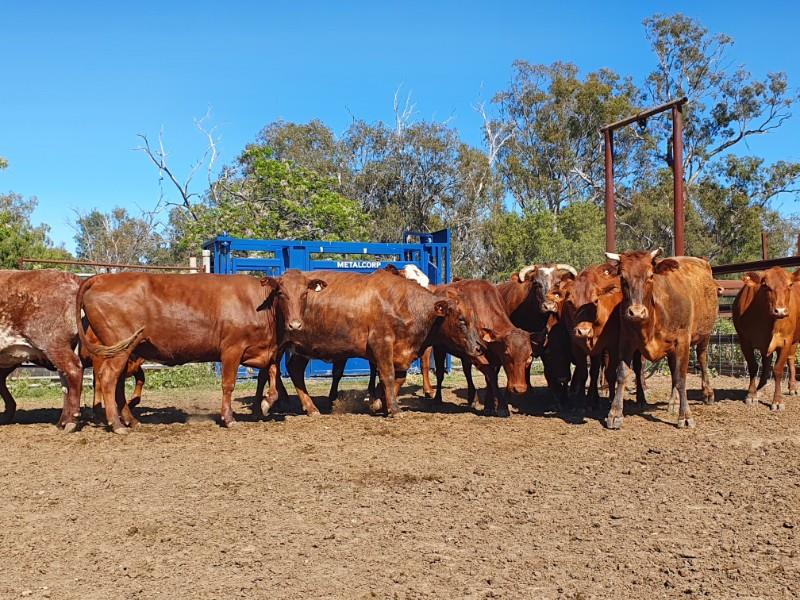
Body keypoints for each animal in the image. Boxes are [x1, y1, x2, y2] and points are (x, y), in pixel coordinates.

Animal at [77, 270, 323, 433]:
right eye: (281, 293)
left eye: (304, 294)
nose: (295, 325)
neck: (260, 306)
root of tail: (100, 278)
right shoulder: (231, 350)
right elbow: (228, 385)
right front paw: (228, 418)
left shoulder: (266, 352)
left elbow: (273, 380)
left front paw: (264, 405)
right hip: (119, 348)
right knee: (108, 379)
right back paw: (117, 424)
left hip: (125, 350)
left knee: (117, 384)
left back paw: (132, 421)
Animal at [278, 268, 481, 416]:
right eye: (461, 320)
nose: (478, 347)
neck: (404, 305)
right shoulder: (381, 344)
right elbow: (388, 375)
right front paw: (393, 408)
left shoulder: (400, 352)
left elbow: (398, 378)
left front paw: (380, 403)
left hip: (302, 348)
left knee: (294, 369)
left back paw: (308, 407)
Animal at [421, 279, 533, 417]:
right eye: (507, 354)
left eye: (529, 357)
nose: (519, 388)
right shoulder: (475, 352)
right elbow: (491, 375)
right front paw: (500, 406)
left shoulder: (493, 358)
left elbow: (490, 378)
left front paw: (490, 404)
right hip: (440, 349)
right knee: (440, 373)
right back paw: (437, 399)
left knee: (467, 372)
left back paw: (472, 398)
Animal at [604, 249, 718, 429]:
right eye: (622, 277)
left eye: (651, 276)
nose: (636, 312)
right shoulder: (626, 340)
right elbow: (622, 374)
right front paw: (615, 413)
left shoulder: (682, 341)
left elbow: (681, 378)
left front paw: (685, 416)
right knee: (671, 369)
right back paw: (672, 401)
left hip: (704, 334)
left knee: (702, 358)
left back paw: (707, 393)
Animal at [732, 267, 800, 411]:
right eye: (765, 286)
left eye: (790, 285)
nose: (780, 311)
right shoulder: (744, 341)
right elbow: (753, 366)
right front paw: (751, 395)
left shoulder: (785, 341)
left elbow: (778, 369)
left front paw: (777, 401)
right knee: (767, 362)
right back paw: (760, 388)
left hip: (794, 340)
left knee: (790, 359)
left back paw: (793, 387)